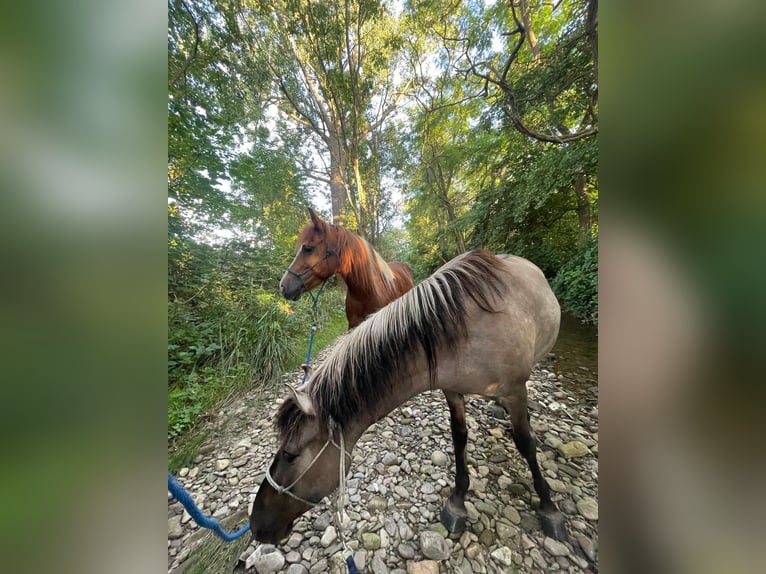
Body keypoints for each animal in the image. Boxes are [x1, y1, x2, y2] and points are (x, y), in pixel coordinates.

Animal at [249, 251, 568, 544]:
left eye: (290, 455)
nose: (256, 526)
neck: (465, 330)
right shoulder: (452, 391)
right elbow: (460, 437)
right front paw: (458, 500)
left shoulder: (515, 391)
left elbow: (526, 444)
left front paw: (549, 507)